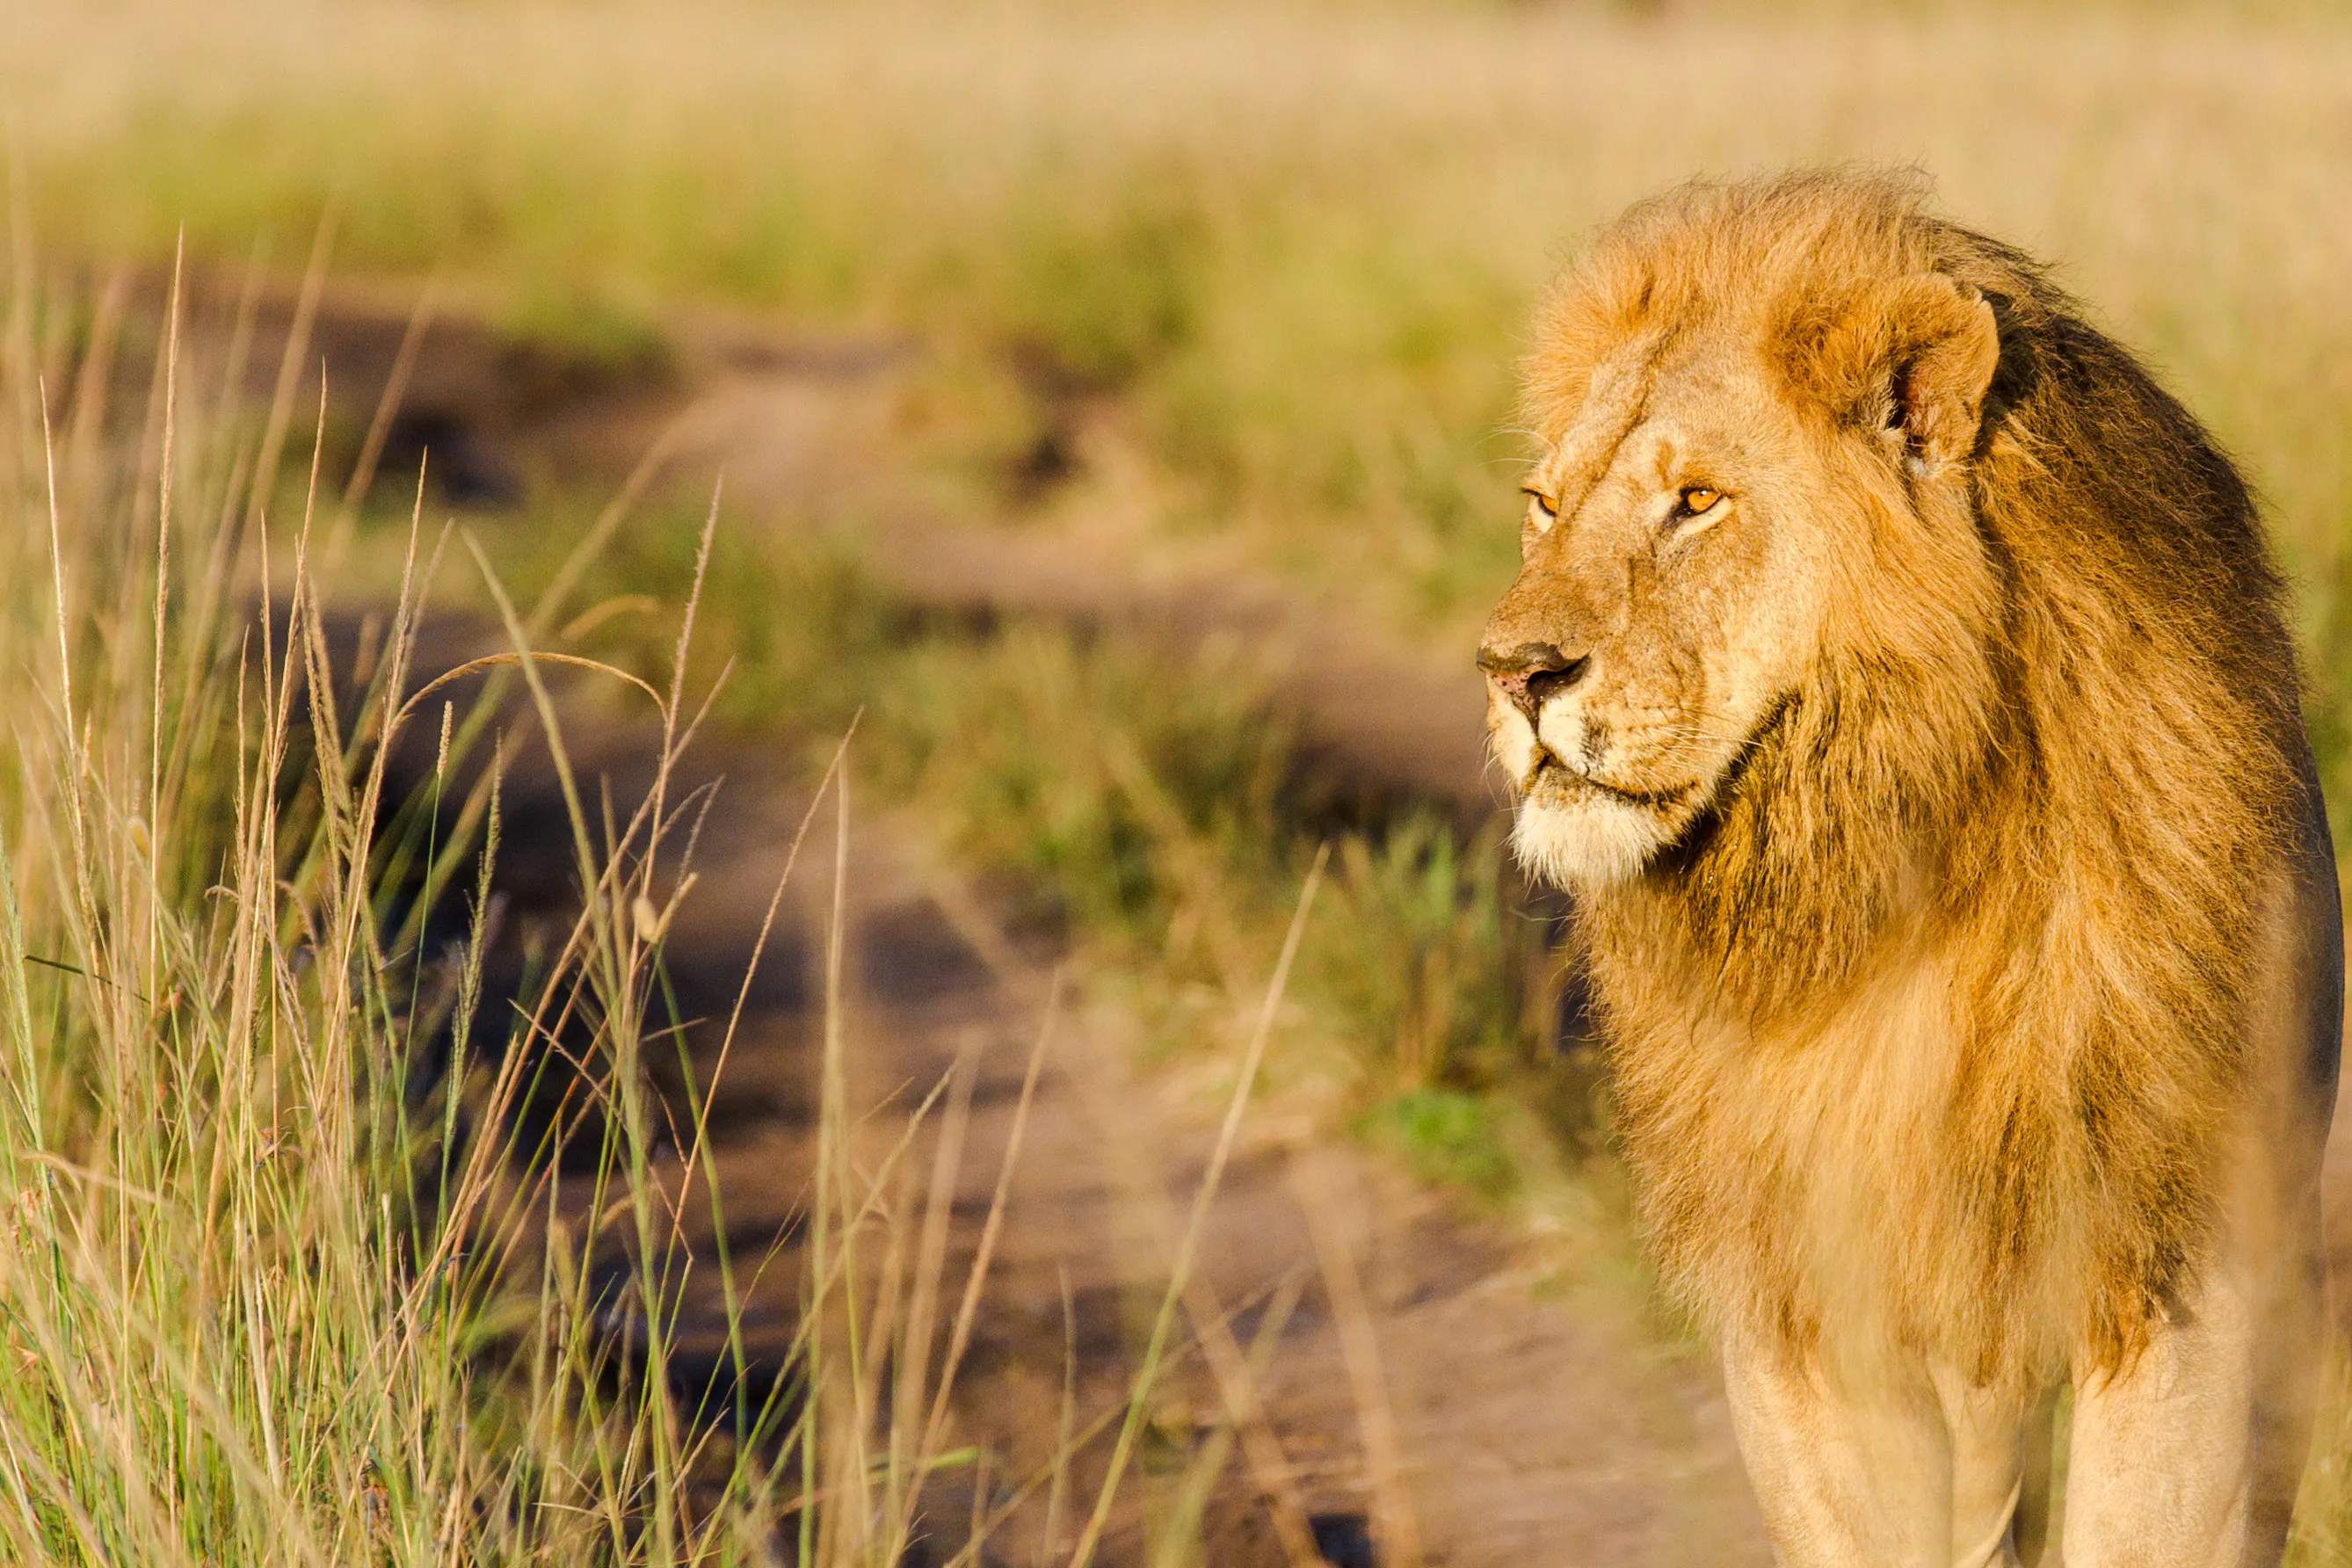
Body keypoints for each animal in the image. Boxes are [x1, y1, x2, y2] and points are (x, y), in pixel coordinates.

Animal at [1478, 169, 2342, 1565]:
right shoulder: (1807, 1309)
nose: (1512, 674)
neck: (1892, 858)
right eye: (1545, 506)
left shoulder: (2189, 1270)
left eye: (1697, 501)